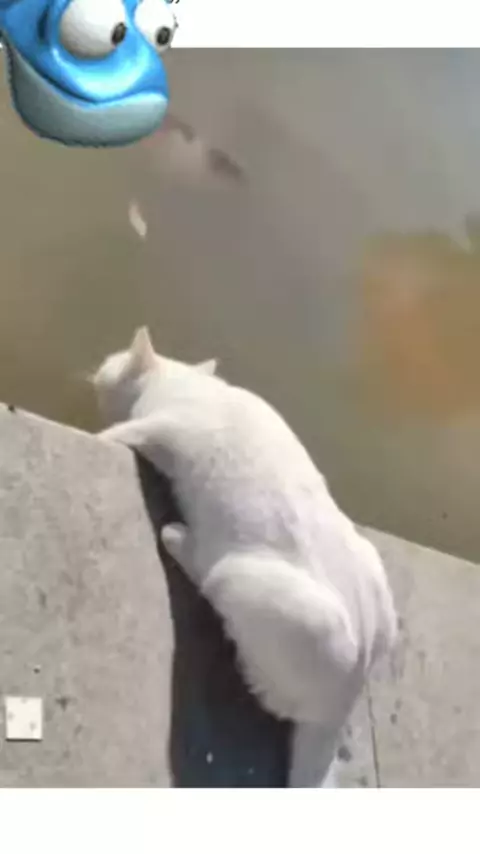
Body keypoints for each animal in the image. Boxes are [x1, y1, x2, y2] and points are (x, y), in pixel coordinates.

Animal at [92, 327, 397, 787]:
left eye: (111, 360)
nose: (95, 370)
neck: (187, 383)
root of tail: (345, 698)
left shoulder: (162, 426)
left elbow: (121, 432)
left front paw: (102, 434)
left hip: (243, 582)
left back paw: (180, 538)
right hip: (371, 563)